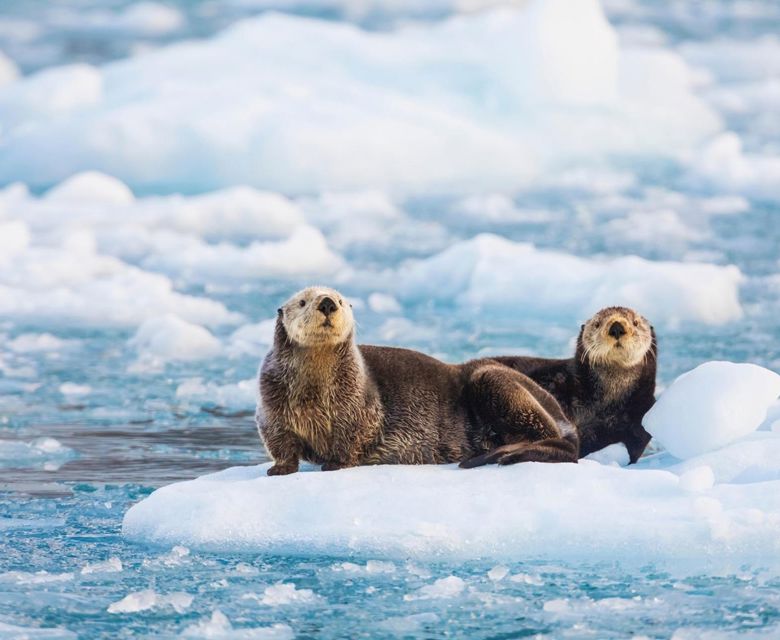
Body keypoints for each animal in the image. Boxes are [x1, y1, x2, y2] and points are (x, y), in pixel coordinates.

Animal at [257, 286, 578, 475]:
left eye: (340, 300)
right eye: (302, 302)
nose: (326, 303)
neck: (315, 389)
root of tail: (564, 418)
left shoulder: (360, 403)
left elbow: (354, 436)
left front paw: (335, 464)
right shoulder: (271, 405)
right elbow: (278, 440)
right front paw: (280, 469)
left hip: (492, 379)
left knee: (563, 446)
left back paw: (499, 454)